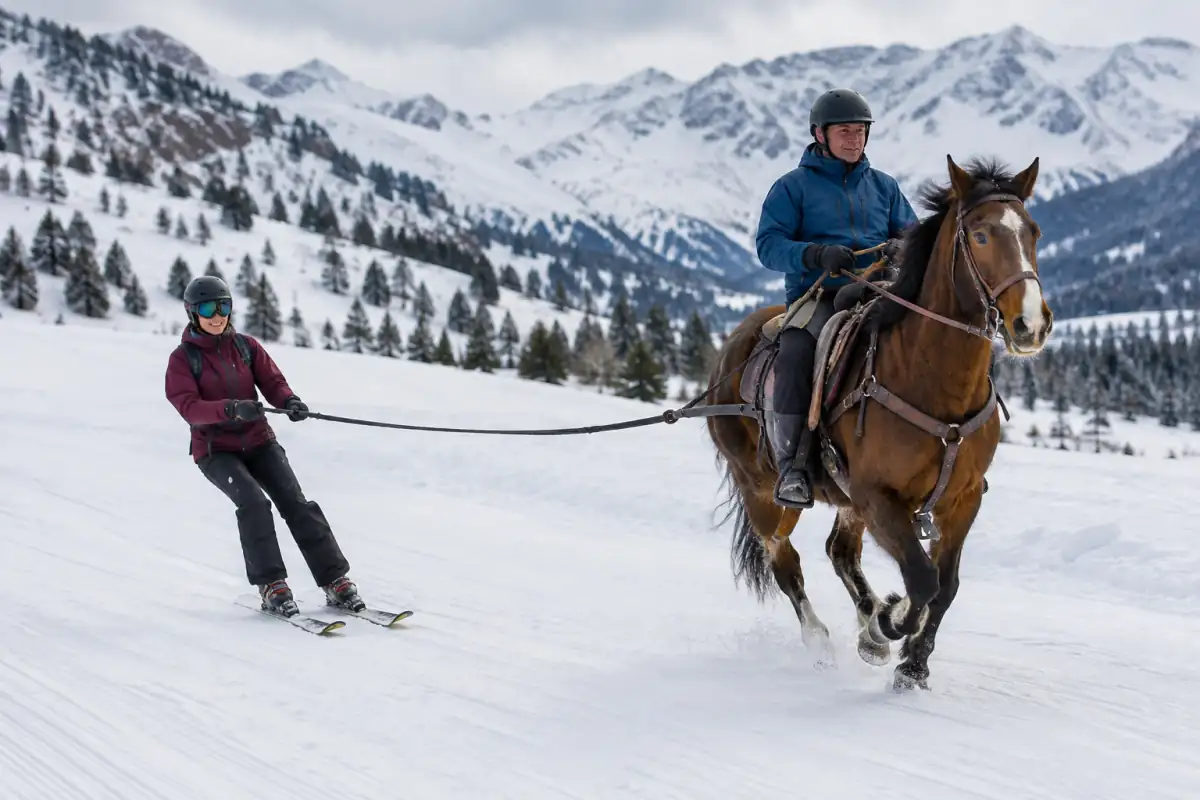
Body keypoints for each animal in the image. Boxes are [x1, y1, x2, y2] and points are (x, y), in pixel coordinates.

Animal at [705, 154, 1053, 691]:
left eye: (1032, 231)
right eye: (980, 235)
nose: (1030, 324)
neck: (929, 377)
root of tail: (730, 354)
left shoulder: (962, 498)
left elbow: (944, 584)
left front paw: (912, 662)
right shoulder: (877, 496)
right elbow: (922, 578)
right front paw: (891, 622)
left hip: (846, 501)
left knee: (840, 552)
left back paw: (868, 625)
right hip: (764, 493)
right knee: (784, 560)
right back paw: (824, 638)